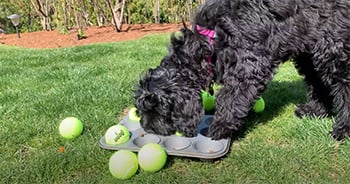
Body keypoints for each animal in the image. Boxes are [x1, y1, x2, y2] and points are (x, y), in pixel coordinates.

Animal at [135, 0, 350, 140]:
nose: (147, 128)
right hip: (309, 52)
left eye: (158, 109)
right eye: (140, 110)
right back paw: (314, 111)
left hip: (334, 48)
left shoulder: (249, 66)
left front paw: (218, 128)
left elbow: (229, 98)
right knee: (317, 80)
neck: (208, 41)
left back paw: (343, 130)